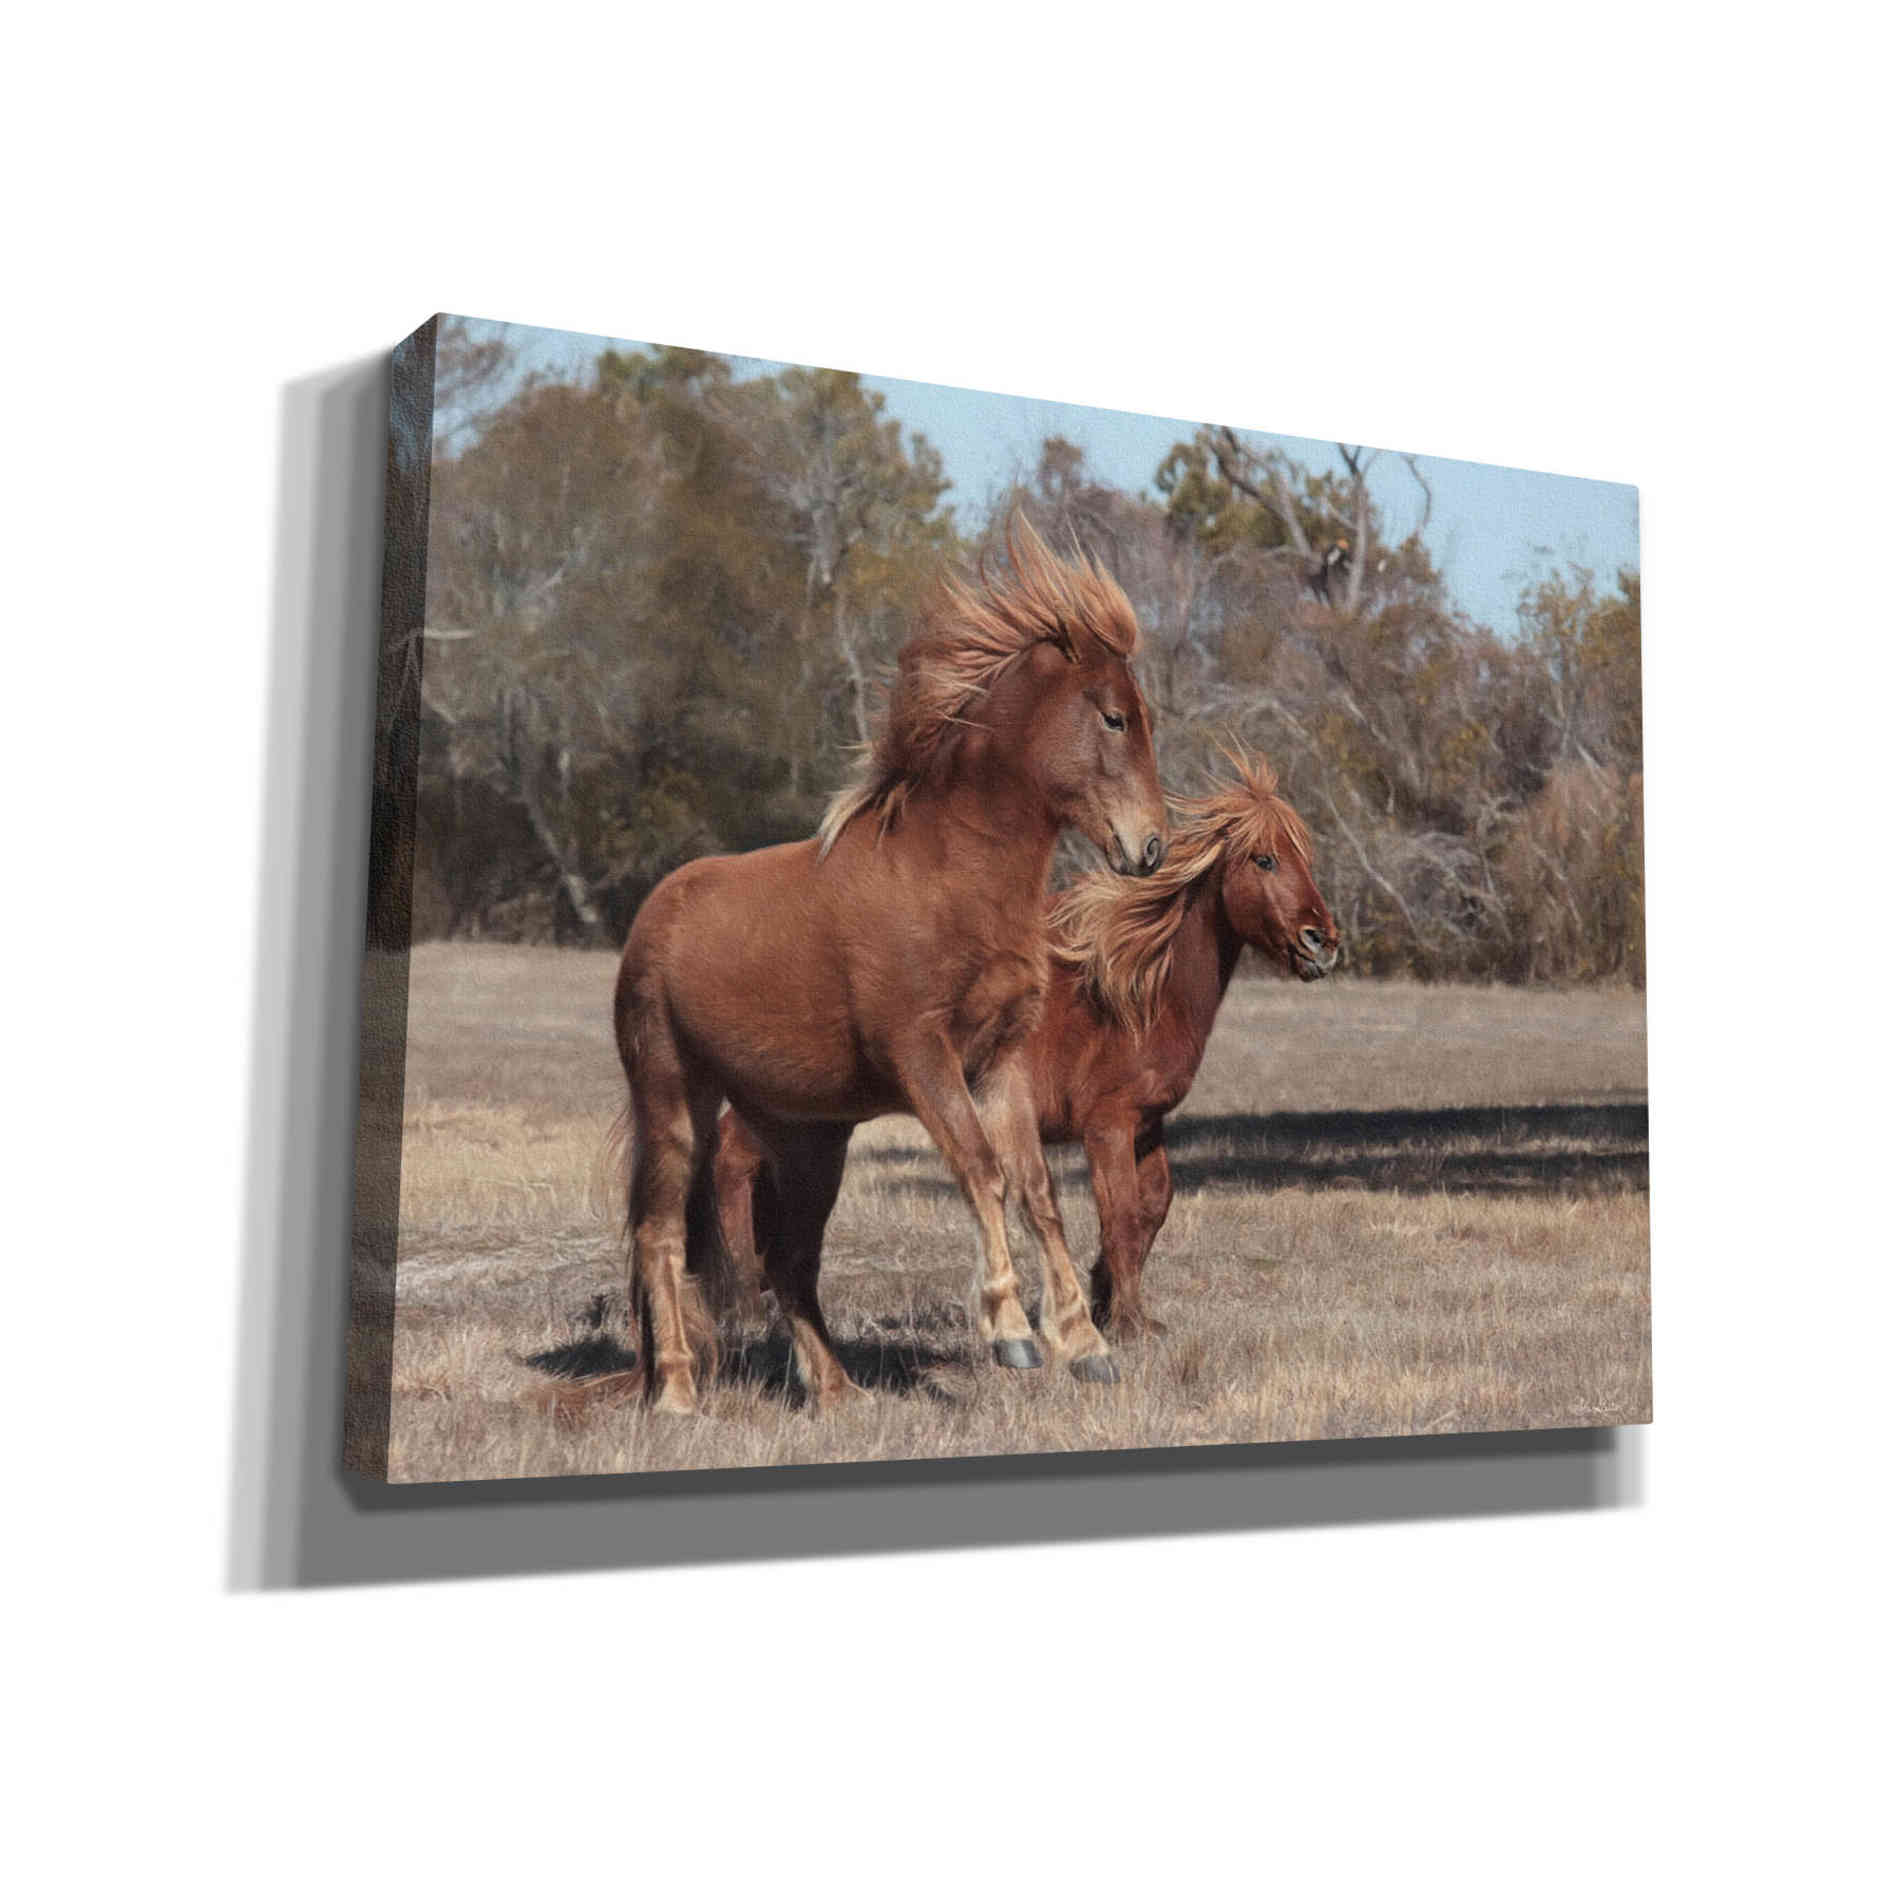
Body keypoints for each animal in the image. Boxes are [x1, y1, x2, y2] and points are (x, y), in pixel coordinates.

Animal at [614, 518, 1168, 1413]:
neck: (945, 875)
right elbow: (982, 1171)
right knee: (660, 1236)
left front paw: (1084, 1344)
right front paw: (1011, 1331)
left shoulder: (999, 1063)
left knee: (788, 1261)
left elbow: (1038, 1191)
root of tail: (651, 919)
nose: (1148, 847)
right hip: (674, 1100)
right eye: (1116, 717)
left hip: (807, 1138)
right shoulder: (922, 1056)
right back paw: (677, 1393)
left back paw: (838, 1392)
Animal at [715, 748, 1337, 1347]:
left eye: (1303, 857)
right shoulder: (1107, 1126)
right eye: (1265, 860)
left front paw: (1108, 1300)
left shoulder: (1146, 1123)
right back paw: (745, 1299)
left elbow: (1153, 1208)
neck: (1133, 992)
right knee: (732, 1163)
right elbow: (1120, 1214)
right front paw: (1127, 1322)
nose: (1323, 942)